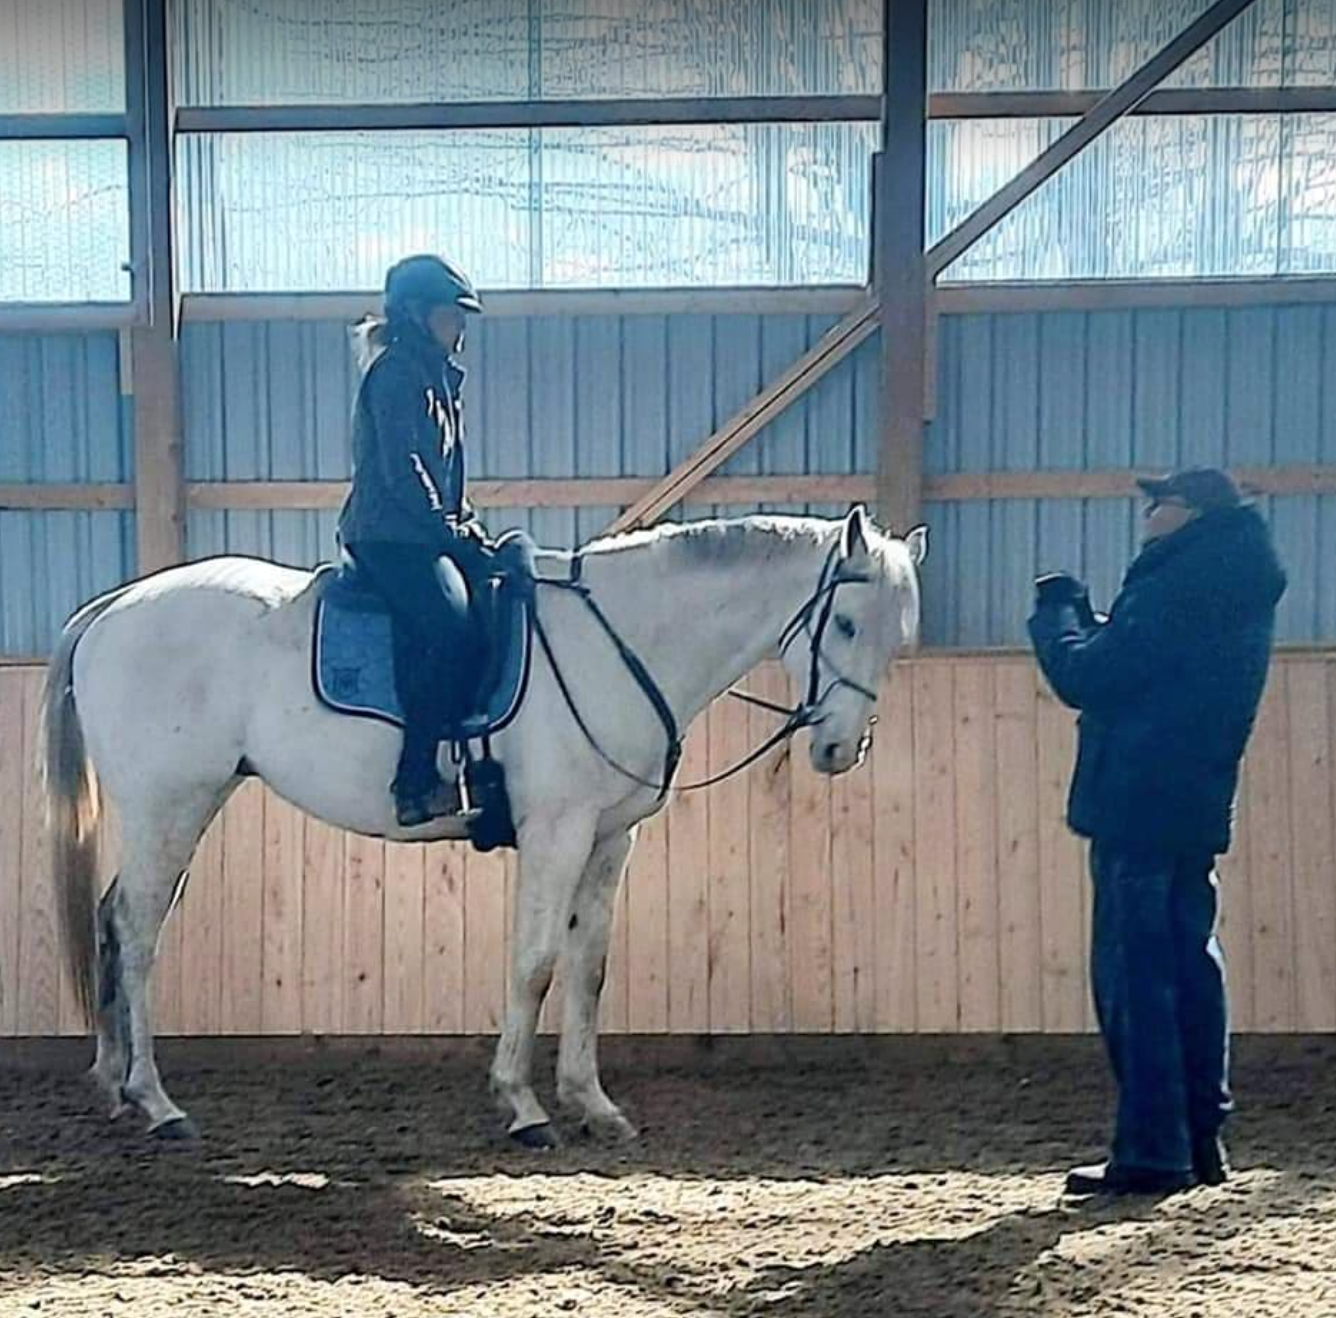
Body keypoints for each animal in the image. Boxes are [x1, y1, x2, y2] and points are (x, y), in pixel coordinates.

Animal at [41, 506, 926, 1146]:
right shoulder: (558, 831)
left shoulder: (610, 838)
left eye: (898, 637)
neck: (621, 643)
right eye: (847, 624)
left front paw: (592, 1104)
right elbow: (534, 964)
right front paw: (525, 1107)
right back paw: (158, 1103)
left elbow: (589, 968)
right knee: (138, 934)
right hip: (169, 805)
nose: (840, 749)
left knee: (113, 923)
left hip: (175, 811)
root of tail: (114, 606)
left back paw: (116, 1087)